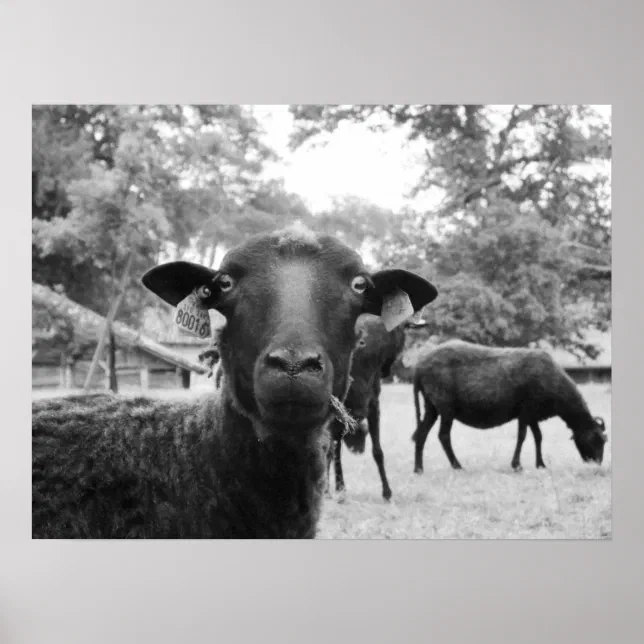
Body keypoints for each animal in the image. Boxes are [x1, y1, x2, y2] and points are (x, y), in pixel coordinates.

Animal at [411, 340, 607, 473]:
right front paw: (517, 465)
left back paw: (419, 469)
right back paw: (457, 466)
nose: (597, 464)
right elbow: (522, 436)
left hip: (431, 407)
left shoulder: (533, 414)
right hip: (446, 407)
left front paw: (540, 464)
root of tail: (419, 366)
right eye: (595, 440)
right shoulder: (526, 410)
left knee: (421, 434)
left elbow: (538, 437)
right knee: (443, 436)